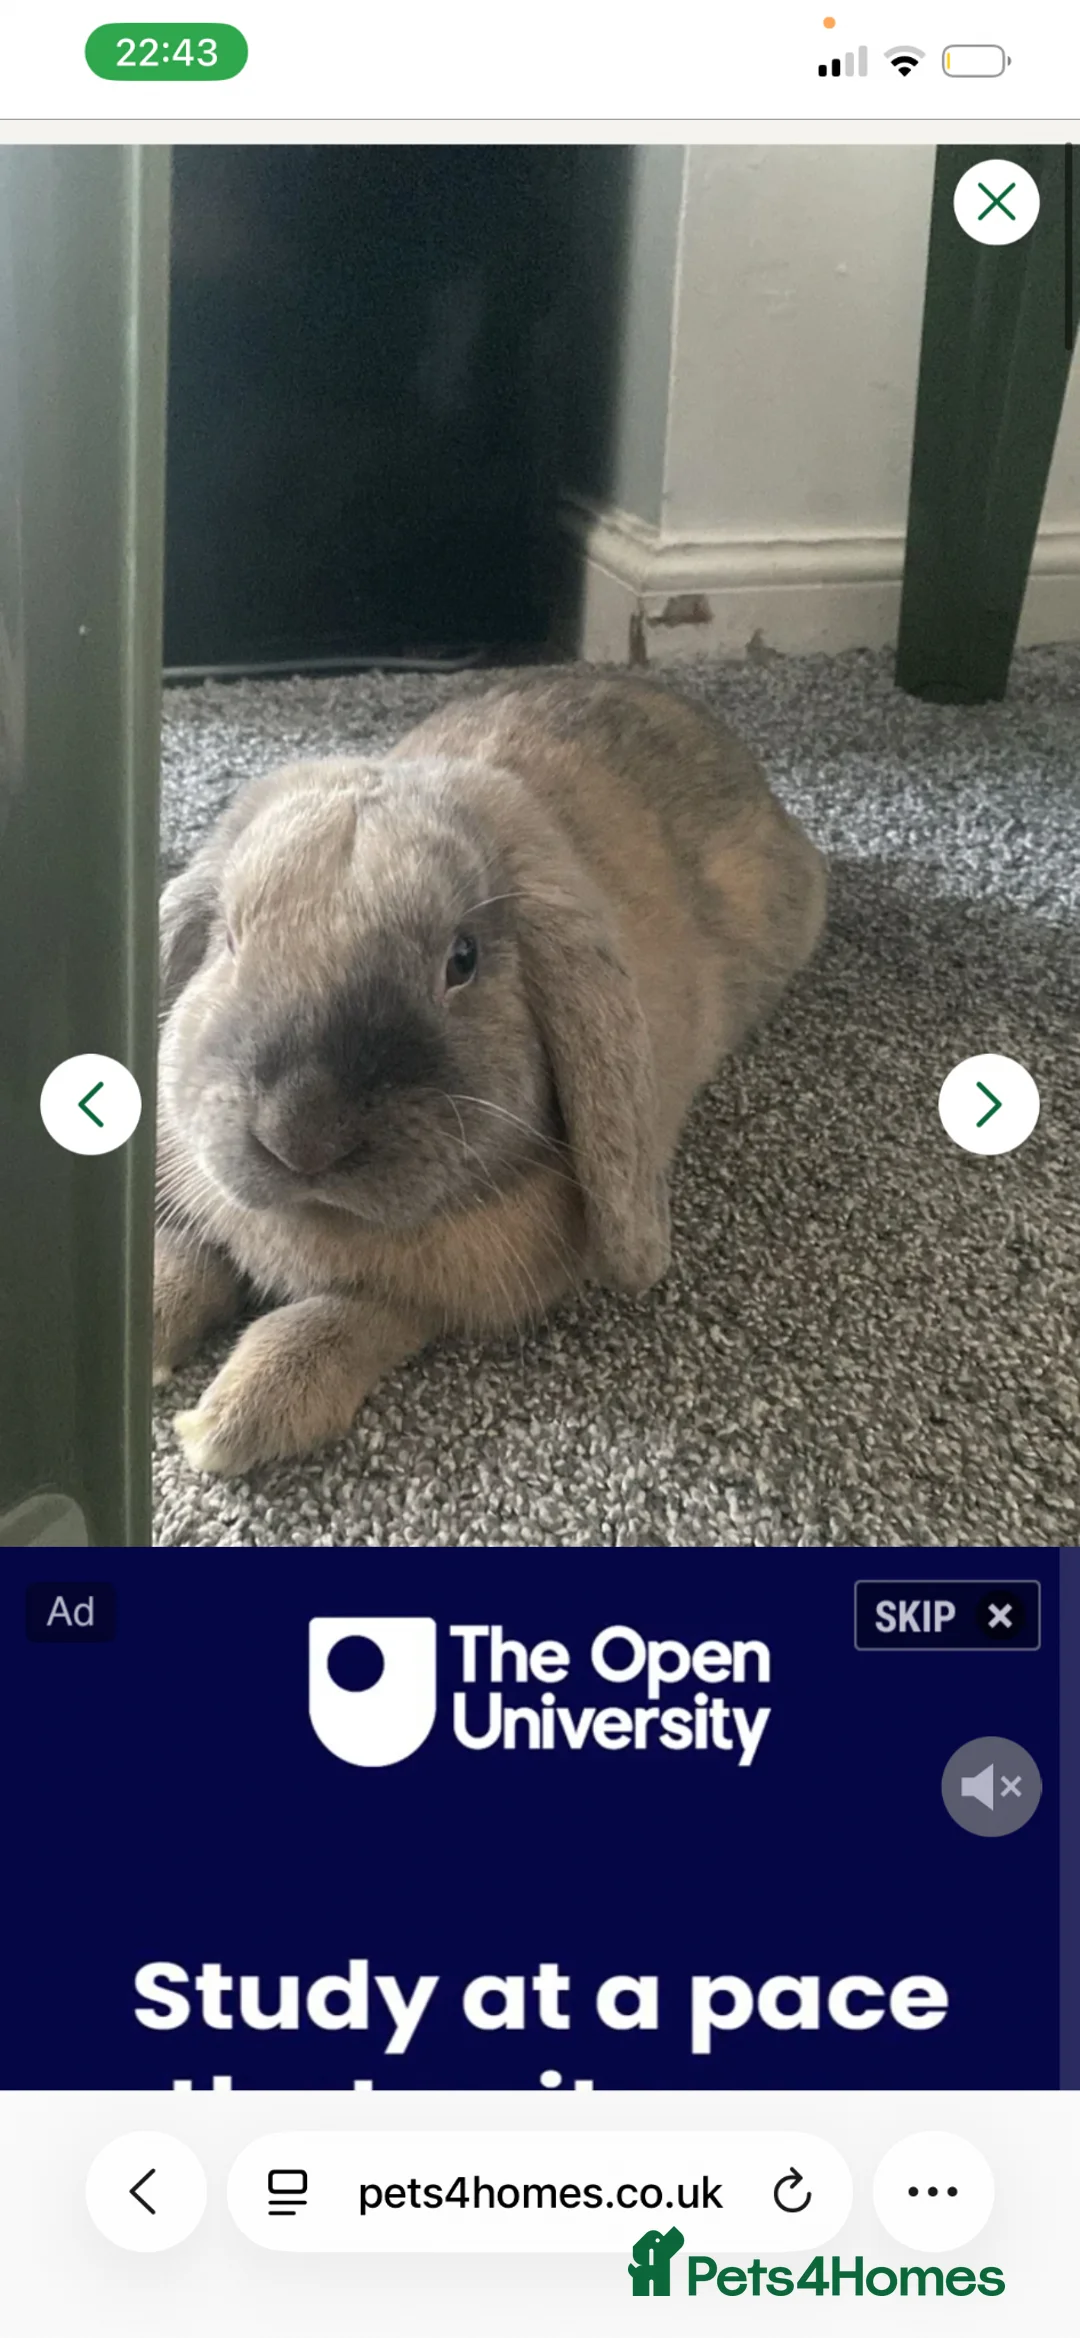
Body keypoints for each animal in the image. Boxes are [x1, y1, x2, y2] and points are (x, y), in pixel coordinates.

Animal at [154, 673, 826, 1474]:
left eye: (463, 960)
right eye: (228, 940)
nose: (300, 1137)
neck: (318, 1220)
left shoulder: (433, 1298)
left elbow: (344, 1319)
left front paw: (225, 1424)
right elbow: (188, 1252)